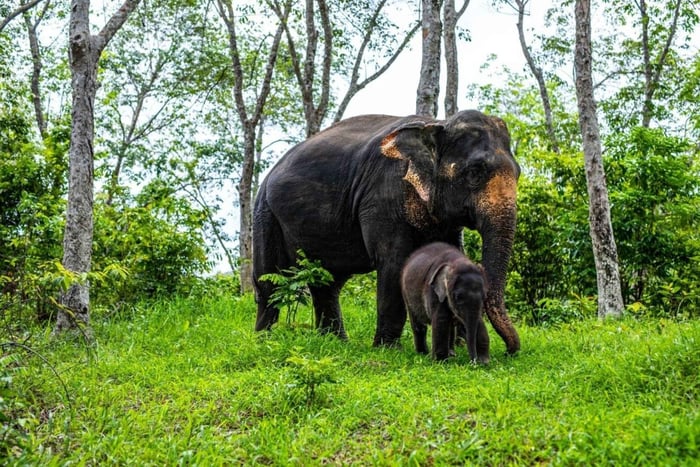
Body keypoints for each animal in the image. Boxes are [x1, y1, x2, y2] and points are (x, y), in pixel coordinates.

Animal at [253, 109, 520, 362]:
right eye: (475, 172)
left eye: (518, 173)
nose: (509, 352)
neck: (437, 123)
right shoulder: (383, 196)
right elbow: (394, 262)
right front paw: (388, 349)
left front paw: (458, 347)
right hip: (265, 215)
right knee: (269, 281)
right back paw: (265, 339)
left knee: (327, 284)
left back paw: (336, 342)